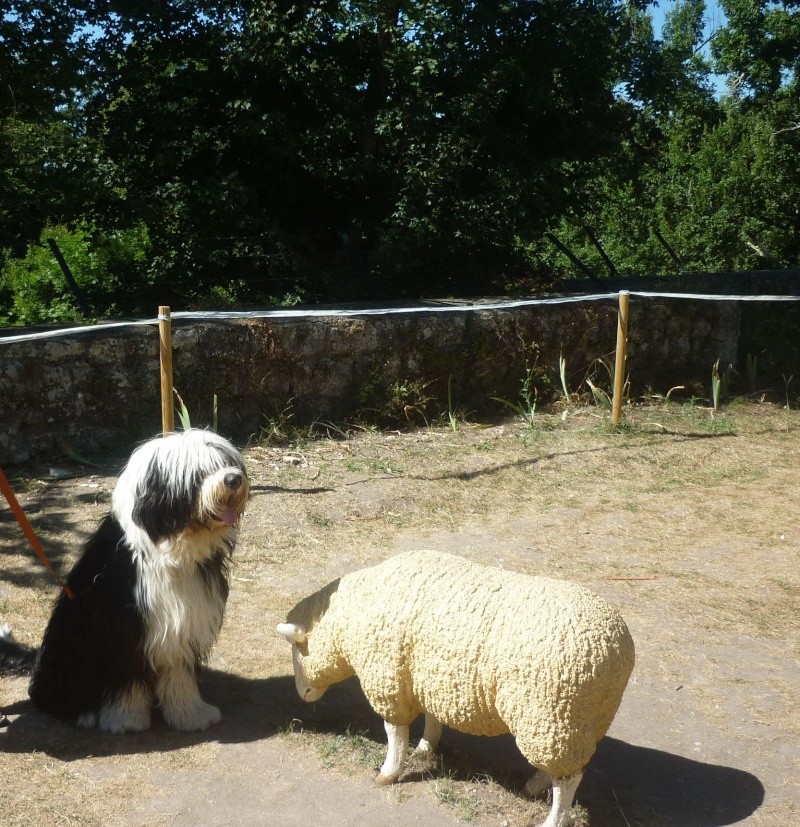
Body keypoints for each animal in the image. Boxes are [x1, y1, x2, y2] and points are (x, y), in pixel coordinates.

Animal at [0, 430, 247, 736]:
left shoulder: (182, 623)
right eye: (198, 472)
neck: (171, 547)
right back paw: (83, 712)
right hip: (72, 654)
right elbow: (127, 678)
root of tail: (37, 659)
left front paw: (190, 714)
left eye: (226, 462)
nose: (234, 479)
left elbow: (179, 674)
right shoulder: (125, 627)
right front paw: (126, 719)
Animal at [278, 548, 636, 827]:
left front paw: (389, 772)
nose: (301, 694)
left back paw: (552, 819)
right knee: (564, 768)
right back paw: (535, 784)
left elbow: (394, 733)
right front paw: (425, 747)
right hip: (572, 724)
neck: (351, 619)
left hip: (553, 715)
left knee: (569, 781)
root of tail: (617, 649)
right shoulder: (430, 679)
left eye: (298, 648)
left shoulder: (388, 680)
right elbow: (432, 719)